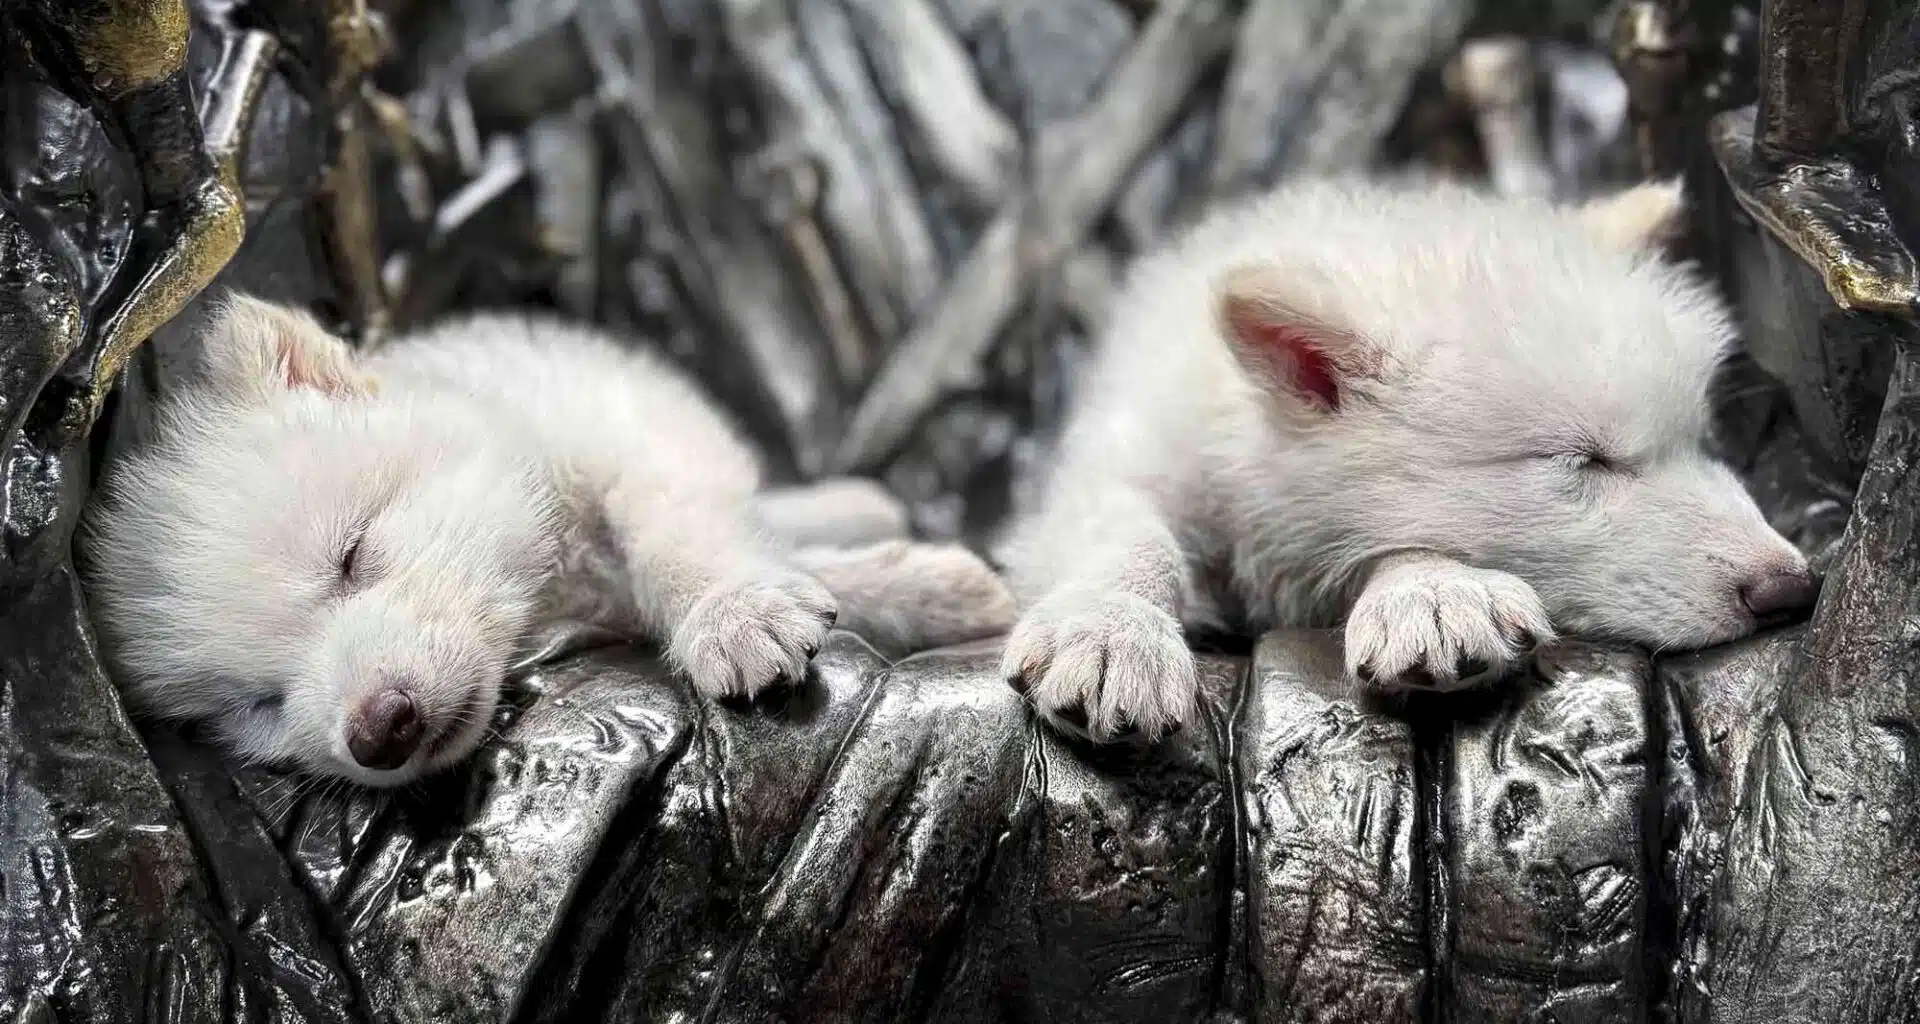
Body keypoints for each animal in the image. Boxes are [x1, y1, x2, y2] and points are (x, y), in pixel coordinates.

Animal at [81, 297, 1015, 786]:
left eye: (352, 555)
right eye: (259, 706)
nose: (378, 731)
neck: (550, 585)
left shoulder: (635, 441)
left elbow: (677, 533)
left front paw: (733, 612)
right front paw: (926, 590)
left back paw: (854, 502)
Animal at [997, 177, 1818, 741]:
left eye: (1700, 443)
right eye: (1584, 461)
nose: (1794, 589)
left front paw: (1433, 592)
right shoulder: (1121, 458)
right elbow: (1129, 533)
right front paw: (1110, 630)